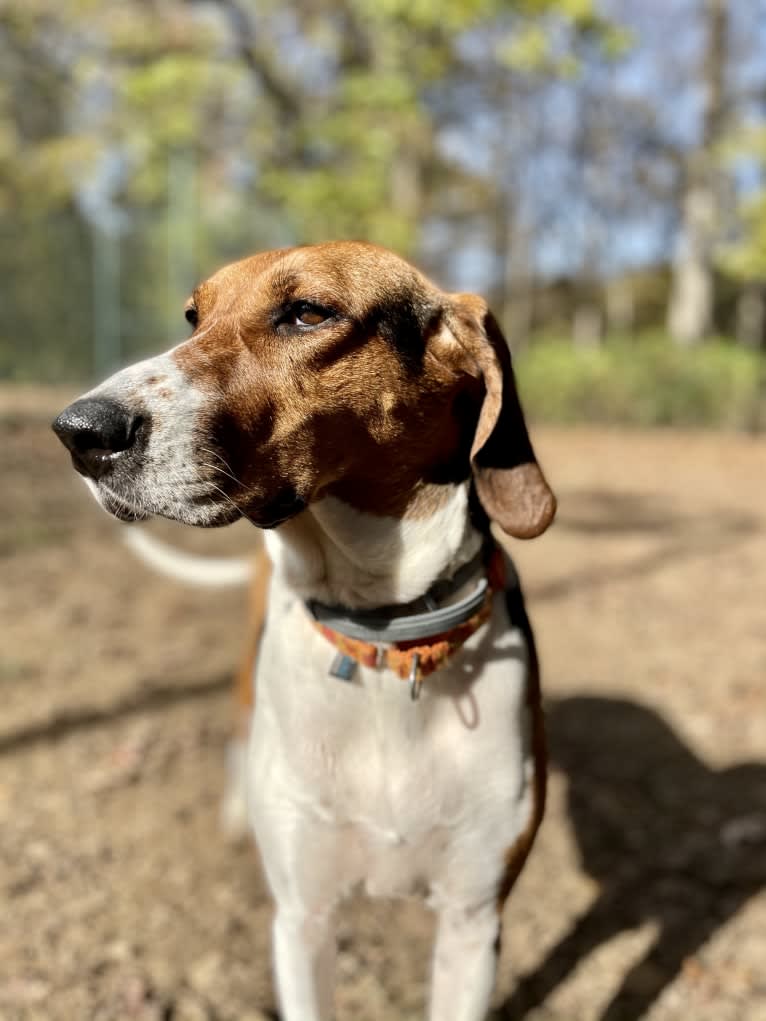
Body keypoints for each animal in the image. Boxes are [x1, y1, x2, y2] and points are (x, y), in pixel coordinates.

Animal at [55, 242, 559, 1016]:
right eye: (193, 317)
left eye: (307, 314)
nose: (80, 431)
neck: (384, 638)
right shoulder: (303, 916)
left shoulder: (473, 921)